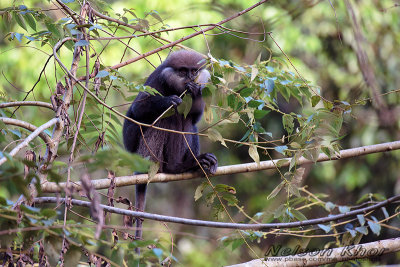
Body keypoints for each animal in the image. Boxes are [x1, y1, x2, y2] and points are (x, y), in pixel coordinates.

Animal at [122, 49, 219, 245]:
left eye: (194, 71)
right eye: (182, 71)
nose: (190, 78)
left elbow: (195, 116)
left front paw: (195, 92)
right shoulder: (158, 80)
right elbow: (138, 109)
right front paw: (168, 101)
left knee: (188, 121)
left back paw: (195, 163)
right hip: (147, 155)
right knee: (169, 118)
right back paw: (176, 167)